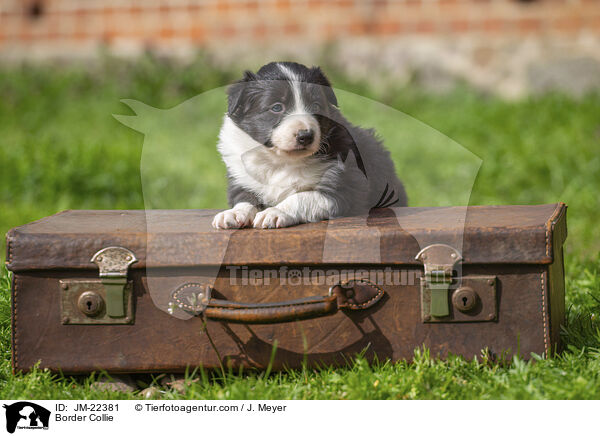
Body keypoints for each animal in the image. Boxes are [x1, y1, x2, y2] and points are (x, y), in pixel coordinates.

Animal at [212, 63, 408, 232]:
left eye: (316, 105)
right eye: (276, 107)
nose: (305, 136)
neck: (282, 160)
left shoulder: (345, 187)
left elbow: (301, 197)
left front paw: (275, 212)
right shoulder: (242, 178)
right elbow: (245, 198)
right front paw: (233, 214)